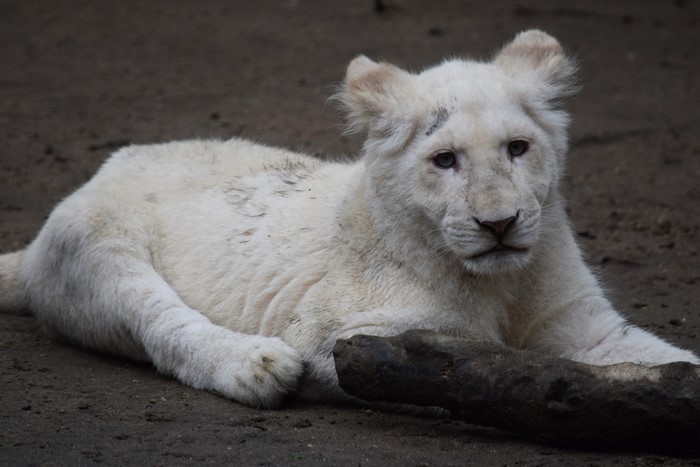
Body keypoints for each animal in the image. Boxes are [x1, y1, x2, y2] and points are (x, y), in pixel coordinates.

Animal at [0, 30, 697, 408]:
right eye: (445, 160)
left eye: (517, 149)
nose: (499, 224)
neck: (503, 281)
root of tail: (109, 165)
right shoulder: (345, 337)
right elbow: (477, 357)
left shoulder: (588, 328)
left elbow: (666, 359)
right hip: (97, 248)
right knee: (161, 324)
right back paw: (257, 367)